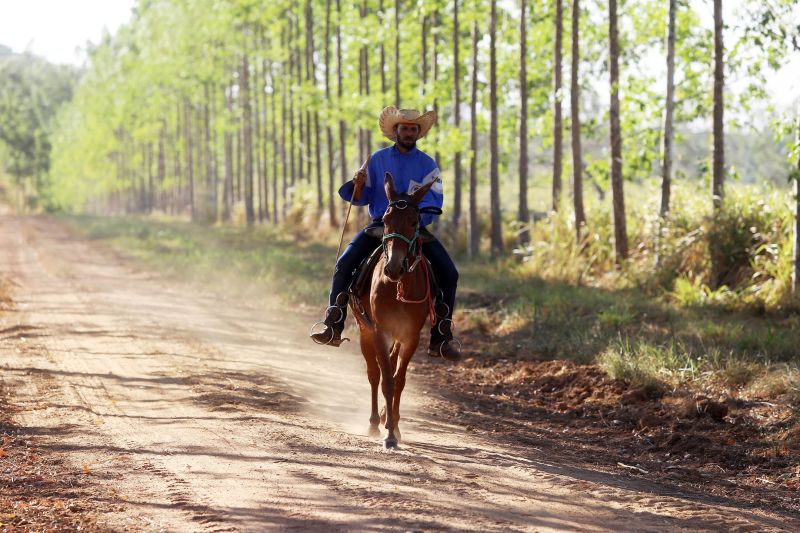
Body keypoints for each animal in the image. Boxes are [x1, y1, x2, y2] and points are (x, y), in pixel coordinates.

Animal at [352, 172, 434, 446]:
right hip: (365, 330)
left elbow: (399, 380)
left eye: (414, 221)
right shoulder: (380, 331)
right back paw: (374, 422)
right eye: (386, 221)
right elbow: (386, 380)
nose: (393, 269)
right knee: (373, 373)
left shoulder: (410, 337)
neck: (400, 286)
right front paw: (388, 434)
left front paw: (395, 426)